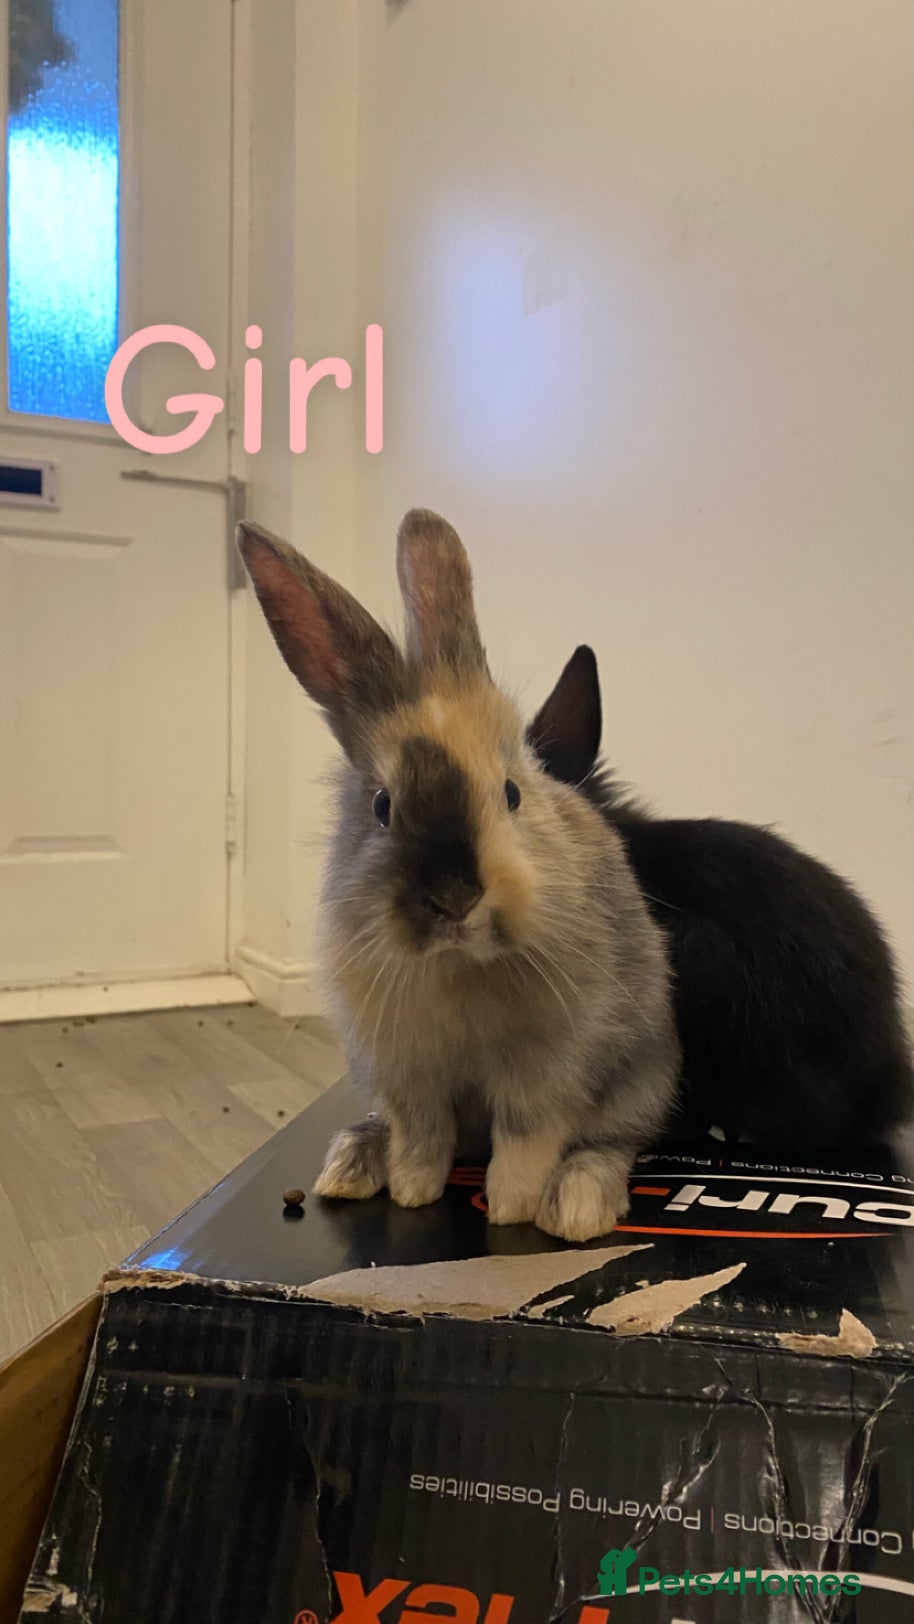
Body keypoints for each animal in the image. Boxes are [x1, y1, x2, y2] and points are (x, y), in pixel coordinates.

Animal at [238, 510, 680, 1243]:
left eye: (511, 793)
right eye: (382, 806)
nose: (454, 898)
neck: (458, 963)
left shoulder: (545, 1071)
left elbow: (527, 1140)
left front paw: (512, 1209)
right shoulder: (406, 1073)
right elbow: (422, 1136)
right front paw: (413, 1193)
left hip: (641, 1080)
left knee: (612, 1143)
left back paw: (577, 1205)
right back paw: (352, 1164)